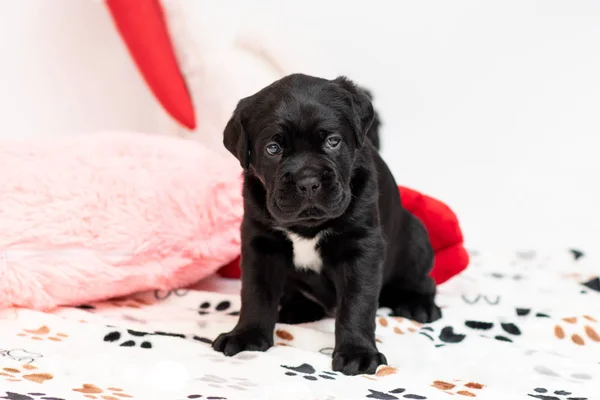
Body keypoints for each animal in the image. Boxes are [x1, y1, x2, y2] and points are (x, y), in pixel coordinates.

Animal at [211, 72, 440, 376]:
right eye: (273, 148)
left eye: (333, 141)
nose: (308, 181)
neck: (307, 226)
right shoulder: (260, 244)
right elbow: (255, 293)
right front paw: (247, 335)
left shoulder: (361, 248)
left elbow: (357, 303)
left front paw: (357, 353)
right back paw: (297, 309)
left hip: (416, 237)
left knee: (422, 279)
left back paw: (418, 305)